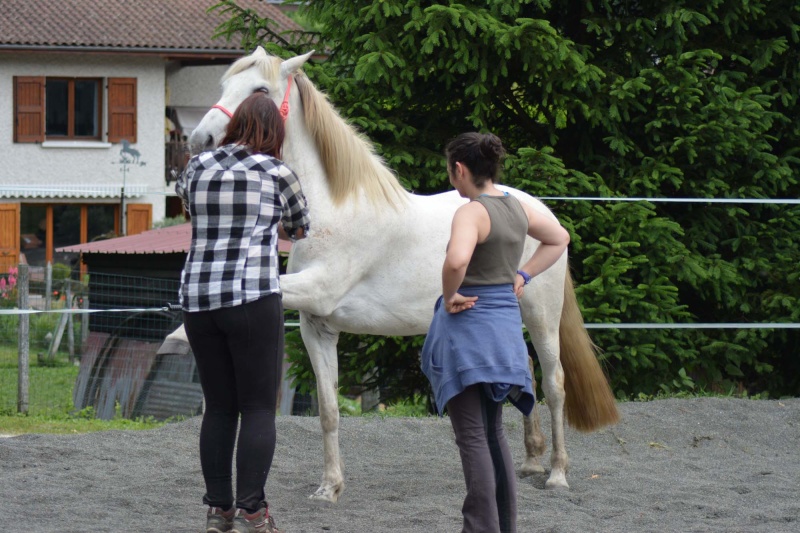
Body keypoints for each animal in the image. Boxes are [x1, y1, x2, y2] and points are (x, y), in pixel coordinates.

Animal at [175, 46, 620, 502]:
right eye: (224, 85)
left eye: (260, 90)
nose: (199, 141)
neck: (336, 209)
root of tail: (542, 213)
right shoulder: (317, 327)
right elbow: (329, 410)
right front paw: (329, 487)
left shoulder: (319, 290)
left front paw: (178, 335)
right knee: (524, 372)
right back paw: (531, 462)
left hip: (543, 317)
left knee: (555, 383)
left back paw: (557, 474)